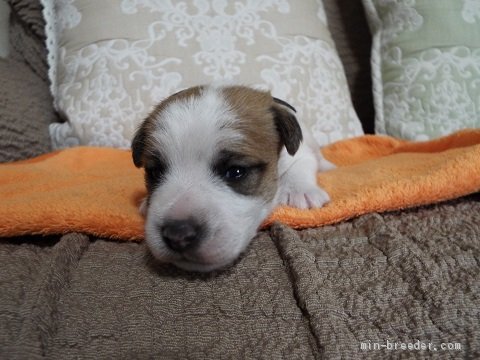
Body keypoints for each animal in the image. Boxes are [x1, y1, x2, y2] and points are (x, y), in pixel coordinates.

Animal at [131, 83, 334, 270]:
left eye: (236, 171)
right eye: (155, 172)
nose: (177, 235)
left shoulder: (300, 155)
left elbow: (300, 166)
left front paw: (300, 191)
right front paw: (145, 202)